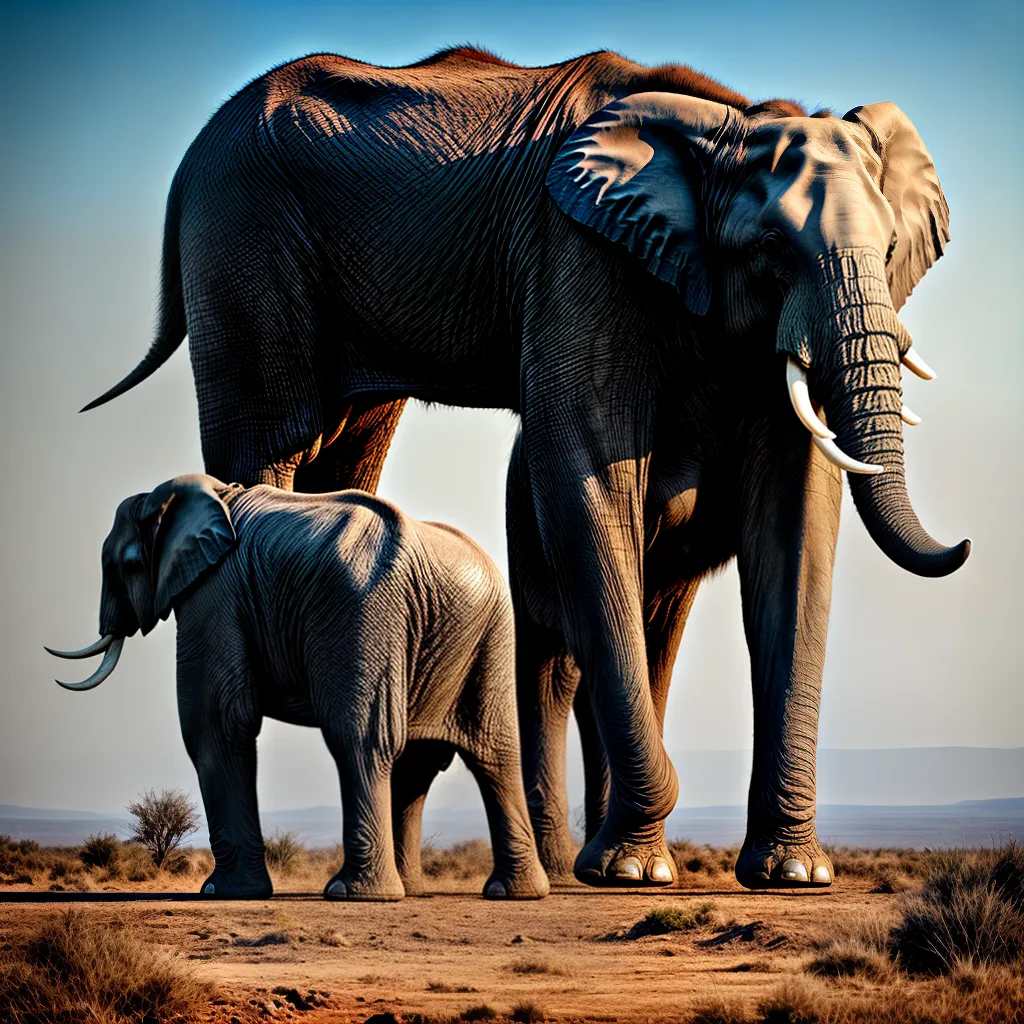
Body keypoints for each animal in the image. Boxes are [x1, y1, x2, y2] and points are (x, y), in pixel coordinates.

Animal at [46, 473, 549, 901]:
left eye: (127, 565)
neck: (215, 494)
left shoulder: (213, 594)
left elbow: (214, 722)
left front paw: (221, 892)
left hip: (362, 611)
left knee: (361, 738)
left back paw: (355, 894)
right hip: (486, 629)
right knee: (479, 754)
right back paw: (491, 893)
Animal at [82, 48, 969, 888]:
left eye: (894, 248)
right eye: (774, 248)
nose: (962, 546)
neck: (732, 122)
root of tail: (194, 157)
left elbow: (795, 527)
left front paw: (791, 874)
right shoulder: (576, 258)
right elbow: (585, 465)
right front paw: (633, 873)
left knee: (353, 449)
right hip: (244, 244)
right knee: (273, 444)